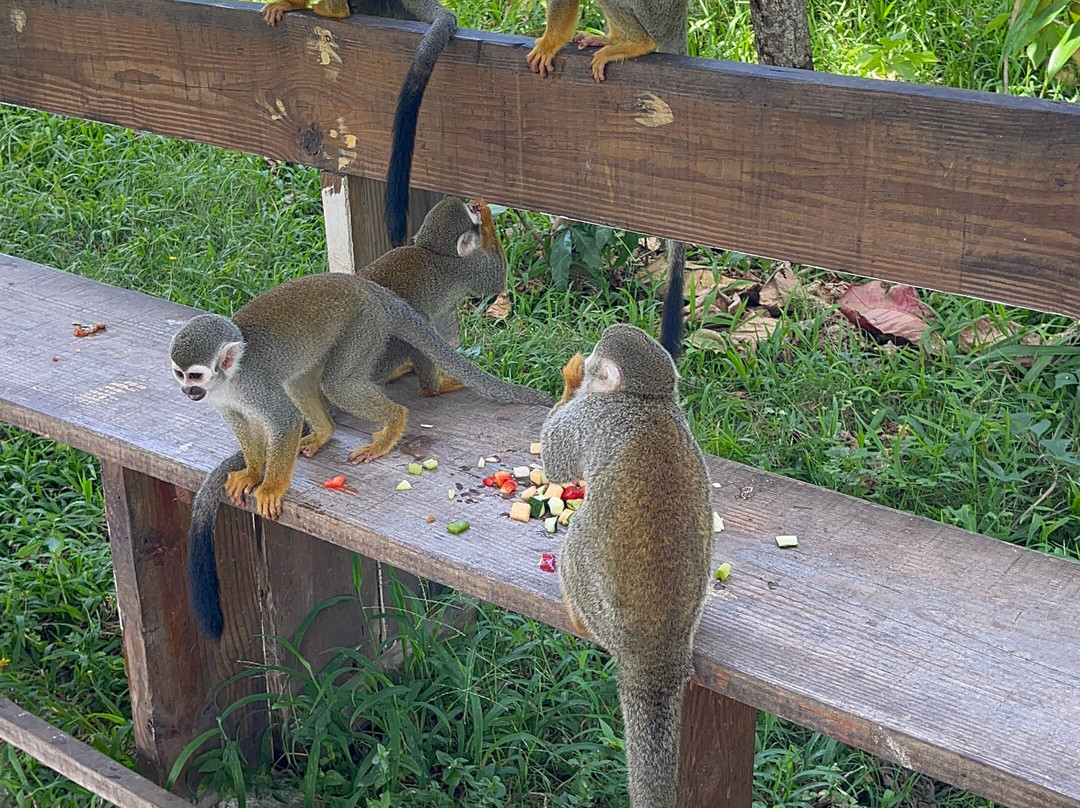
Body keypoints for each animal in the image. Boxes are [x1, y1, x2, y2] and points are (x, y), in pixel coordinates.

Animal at [172, 275, 553, 640]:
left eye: (196, 374)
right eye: (179, 373)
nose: (188, 392)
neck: (229, 379)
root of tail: (366, 288)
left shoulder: (254, 384)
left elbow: (283, 420)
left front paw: (271, 487)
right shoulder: (223, 398)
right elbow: (243, 423)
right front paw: (251, 473)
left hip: (362, 327)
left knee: (337, 384)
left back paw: (392, 424)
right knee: (305, 381)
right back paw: (324, 432)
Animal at [361, 196, 506, 396]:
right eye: (470, 210)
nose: (471, 205)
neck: (432, 250)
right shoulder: (467, 266)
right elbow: (496, 279)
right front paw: (485, 214)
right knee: (421, 326)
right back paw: (434, 388)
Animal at [539, 323, 713, 808]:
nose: (586, 364)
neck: (648, 401)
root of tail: (655, 654)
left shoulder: (592, 416)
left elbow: (555, 459)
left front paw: (571, 379)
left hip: (599, 607)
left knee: (576, 545)